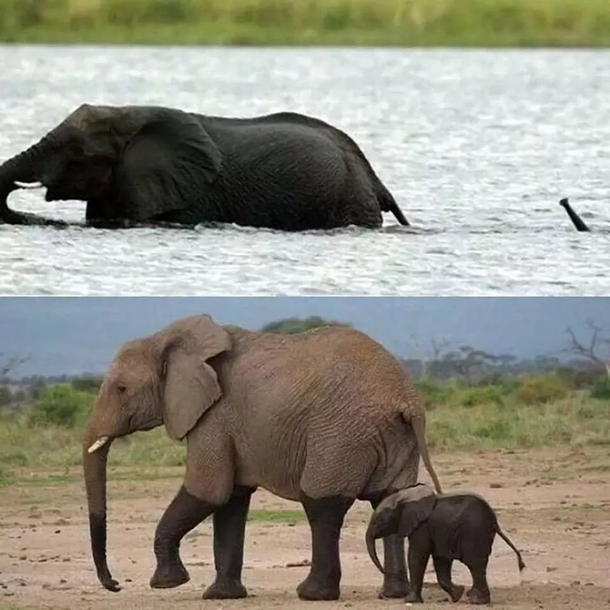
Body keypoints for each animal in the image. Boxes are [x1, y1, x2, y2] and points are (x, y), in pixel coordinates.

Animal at [364, 482, 524, 600]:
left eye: (379, 521)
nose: (384, 571)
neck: (405, 496)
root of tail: (494, 522)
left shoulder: (422, 526)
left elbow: (417, 555)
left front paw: (410, 601)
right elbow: (441, 559)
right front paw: (457, 594)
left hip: (474, 531)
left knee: (474, 563)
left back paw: (476, 600)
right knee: (478, 564)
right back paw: (472, 596)